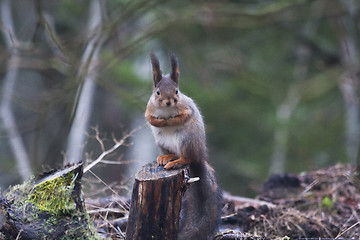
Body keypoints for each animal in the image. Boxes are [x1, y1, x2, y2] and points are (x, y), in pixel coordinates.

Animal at [145, 53, 221, 240]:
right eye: (157, 92)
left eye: (177, 91)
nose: (169, 102)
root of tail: (200, 156)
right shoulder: (149, 108)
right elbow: (150, 118)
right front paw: (160, 122)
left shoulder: (187, 108)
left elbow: (184, 116)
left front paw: (171, 121)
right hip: (162, 142)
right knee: (173, 153)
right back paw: (166, 157)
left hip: (187, 140)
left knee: (188, 157)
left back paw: (177, 162)